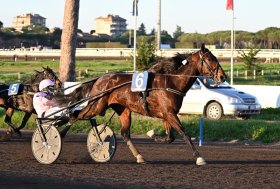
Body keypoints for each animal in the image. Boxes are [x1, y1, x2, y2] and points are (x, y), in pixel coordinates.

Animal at [55, 44, 226, 165]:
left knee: (125, 133)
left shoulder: (167, 115)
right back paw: (59, 134)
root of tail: (100, 79)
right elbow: (184, 134)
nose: (223, 76)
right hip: (96, 105)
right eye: (210, 59)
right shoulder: (170, 114)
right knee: (75, 115)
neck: (171, 82)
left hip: (123, 110)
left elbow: (170, 138)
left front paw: (153, 135)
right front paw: (199, 157)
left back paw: (139, 156)